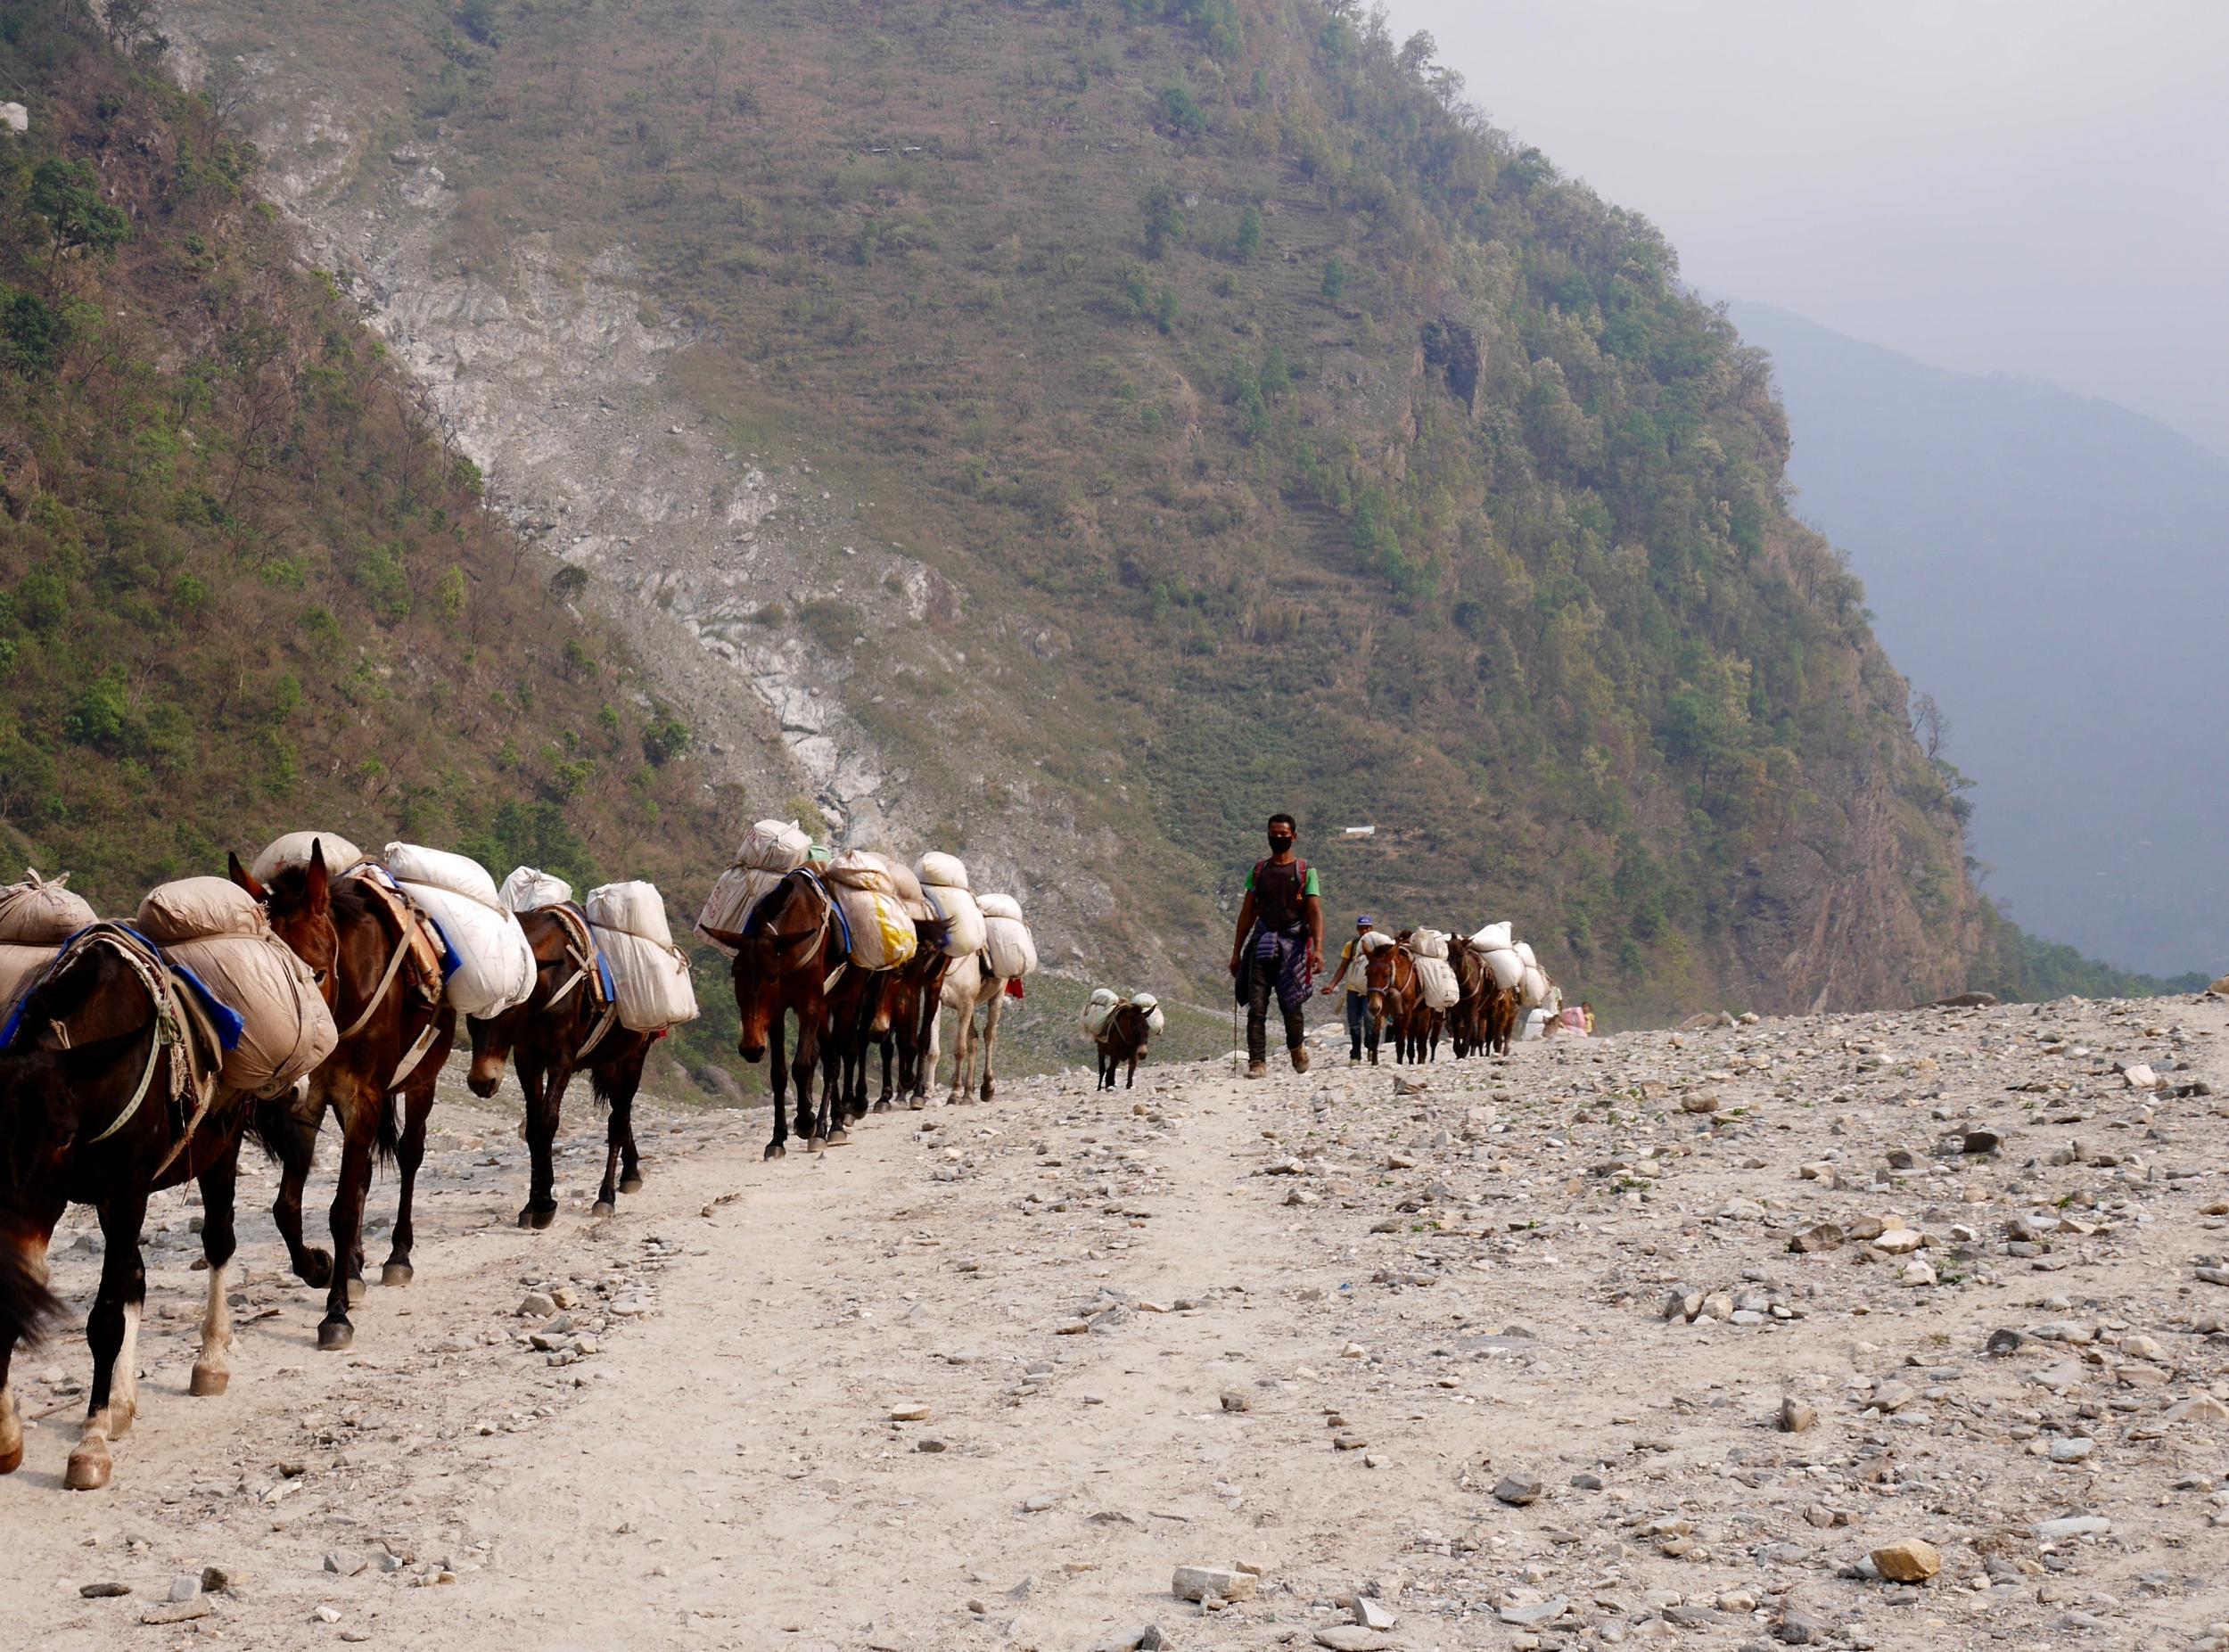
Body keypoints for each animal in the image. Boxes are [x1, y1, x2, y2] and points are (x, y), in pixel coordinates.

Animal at [0, 936, 246, 1489]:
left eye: (63, 1135)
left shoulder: (125, 1193)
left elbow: (106, 1318)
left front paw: (90, 1445)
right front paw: (6, 1433)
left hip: (221, 1153)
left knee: (218, 1242)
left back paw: (211, 1360)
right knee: (136, 1276)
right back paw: (121, 1403)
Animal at [230, 842, 452, 1346]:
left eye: (313, 974)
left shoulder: (362, 1099)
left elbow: (344, 1209)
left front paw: (335, 1314)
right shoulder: (310, 1101)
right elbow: (287, 1207)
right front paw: (319, 1266)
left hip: (421, 1082)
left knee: (410, 1157)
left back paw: (397, 1256)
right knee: (366, 1172)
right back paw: (351, 1268)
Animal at [464, 900, 651, 1221]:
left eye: (510, 1004)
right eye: (468, 1006)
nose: (481, 1081)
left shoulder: (561, 1059)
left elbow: (548, 1121)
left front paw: (543, 1206)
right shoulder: (527, 1059)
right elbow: (532, 1127)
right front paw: (532, 1203)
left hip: (634, 1056)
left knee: (618, 1119)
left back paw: (606, 1196)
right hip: (607, 1061)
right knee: (621, 1113)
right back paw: (630, 1173)